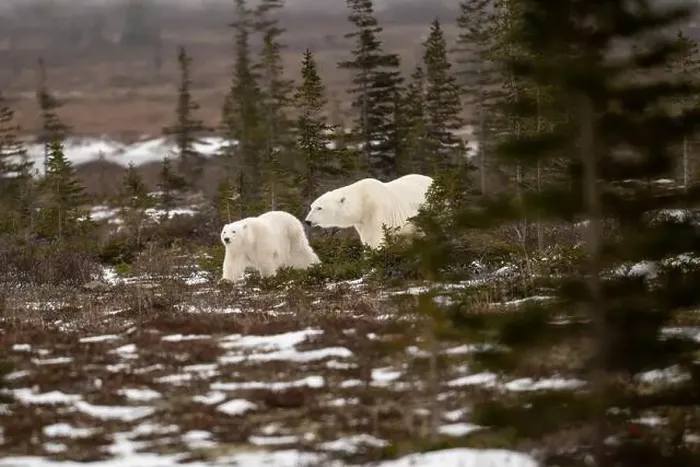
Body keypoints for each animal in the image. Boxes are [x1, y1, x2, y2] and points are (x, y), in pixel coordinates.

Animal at [303, 173, 434, 249]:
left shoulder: (377, 210)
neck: (363, 202)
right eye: (311, 206)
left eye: (319, 208)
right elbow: (366, 238)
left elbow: (377, 237)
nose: (307, 221)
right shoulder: (361, 222)